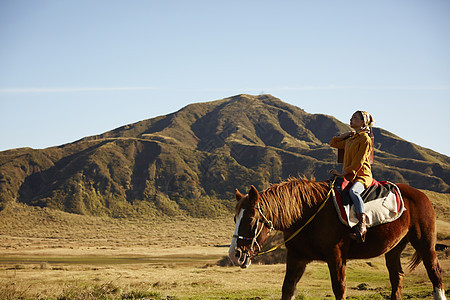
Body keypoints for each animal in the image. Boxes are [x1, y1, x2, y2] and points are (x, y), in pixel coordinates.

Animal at [229, 177, 446, 298]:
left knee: (434, 273)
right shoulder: (297, 258)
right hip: (393, 249)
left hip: (425, 245)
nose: (235, 255)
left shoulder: (337, 257)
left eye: (250, 219)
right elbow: (287, 289)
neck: (308, 213)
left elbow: (339, 288)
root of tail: (421, 195)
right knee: (397, 277)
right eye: (234, 218)